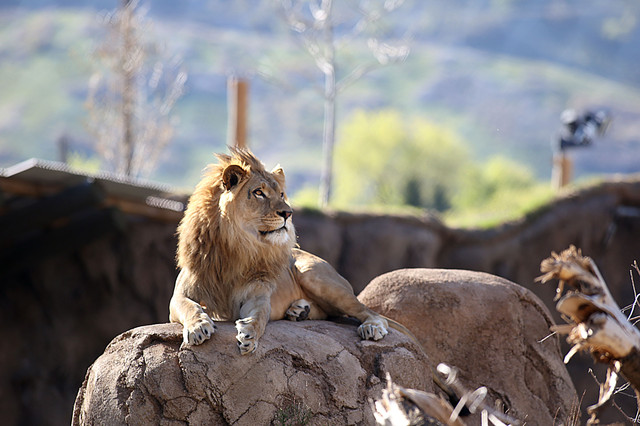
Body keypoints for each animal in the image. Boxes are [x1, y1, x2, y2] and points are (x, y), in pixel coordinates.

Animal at [169, 148, 407, 354]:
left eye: (282, 194)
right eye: (259, 192)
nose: (288, 213)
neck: (237, 247)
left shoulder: (258, 295)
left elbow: (259, 317)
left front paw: (249, 335)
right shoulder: (179, 296)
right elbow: (189, 306)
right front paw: (198, 327)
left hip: (313, 274)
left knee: (368, 312)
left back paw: (371, 327)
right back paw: (300, 311)